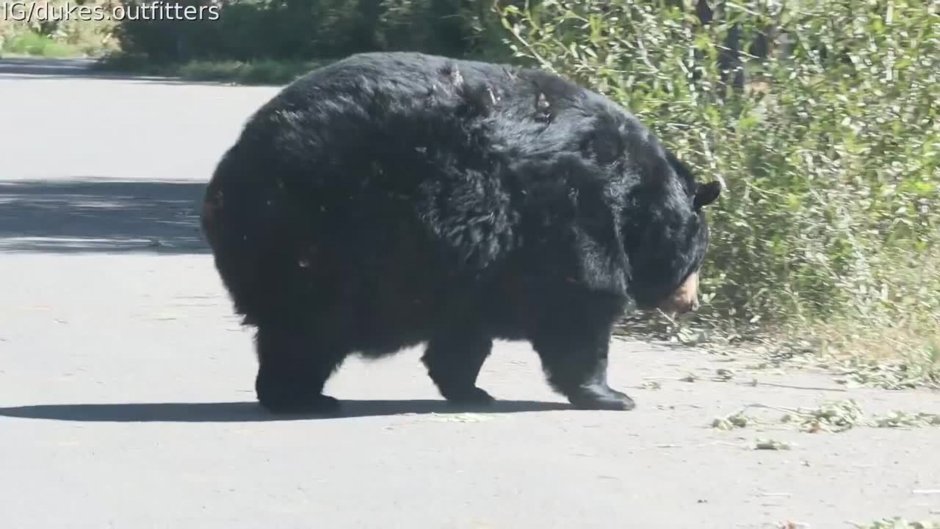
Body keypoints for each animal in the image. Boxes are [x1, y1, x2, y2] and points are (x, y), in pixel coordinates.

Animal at [200, 51, 721, 414]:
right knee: (307, 330)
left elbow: (464, 335)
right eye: (696, 259)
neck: (637, 198)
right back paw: (303, 397)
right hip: (319, 236)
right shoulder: (574, 220)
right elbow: (578, 312)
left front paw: (471, 389)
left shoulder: (479, 263)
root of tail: (230, 171)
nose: (692, 302)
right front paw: (611, 394)